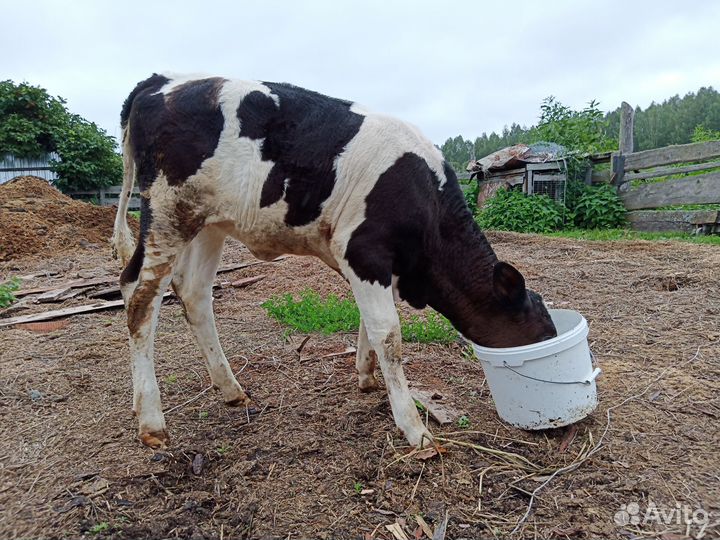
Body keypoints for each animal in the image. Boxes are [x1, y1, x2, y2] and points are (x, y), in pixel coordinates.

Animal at [112, 73, 557, 450]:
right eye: (540, 336)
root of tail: (161, 80)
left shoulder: (372, 264)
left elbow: (370, 324)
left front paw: (366, 375)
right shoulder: (364, 250)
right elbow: (389, 334)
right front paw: (413, 427)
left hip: (208, 223)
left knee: (194, 293)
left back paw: (230, 388)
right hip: (167, 213)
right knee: (138, 294)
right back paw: (152, 421)